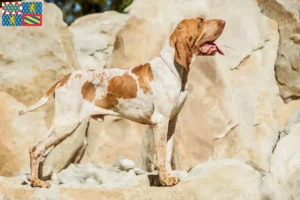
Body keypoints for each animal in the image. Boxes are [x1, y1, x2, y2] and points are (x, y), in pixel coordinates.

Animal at [19, 17, 225, 188]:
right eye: (201, 21)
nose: (223, 22)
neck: (173, 68)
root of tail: (62, 79)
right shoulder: (160, 121)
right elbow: (160, 155)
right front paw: (165, 181)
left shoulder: (171, 121)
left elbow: (166, 154)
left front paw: (167, 177)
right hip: (66, 123)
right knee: (35, 148)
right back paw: (36, 182)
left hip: (64, 127)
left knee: (42, 151)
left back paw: (39, 180)